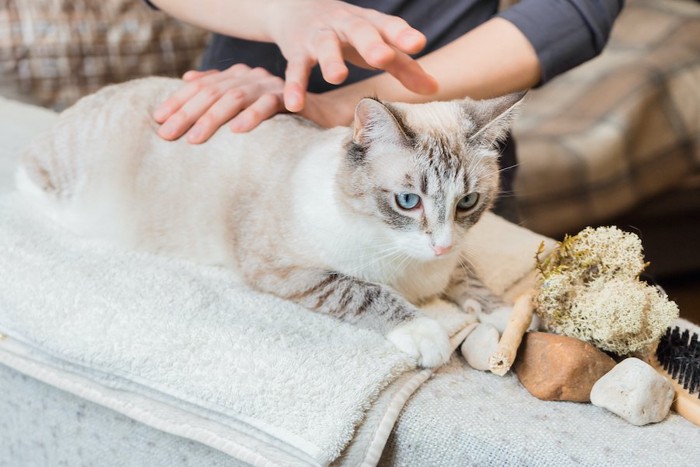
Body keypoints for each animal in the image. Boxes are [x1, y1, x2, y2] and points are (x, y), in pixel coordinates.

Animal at [16, 77, 524, 370]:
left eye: (467, 202)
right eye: (407, 201)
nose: (439, 245)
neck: (414, 269)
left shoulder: (453, 259)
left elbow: (472, 281)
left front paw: (508, 316)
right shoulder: (284, 271)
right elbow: (366, 292)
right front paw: (425, 333)